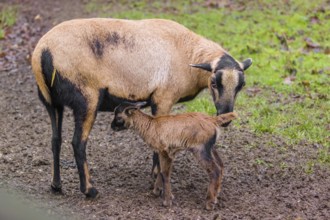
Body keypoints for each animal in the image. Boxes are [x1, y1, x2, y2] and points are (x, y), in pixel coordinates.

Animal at [31, 17, 253, 198]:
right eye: (214, 83)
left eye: (241, 85)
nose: (226, 116)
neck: (188, 53)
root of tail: (43, 51)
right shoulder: (163, 99)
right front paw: (157, 179)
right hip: (87, 98)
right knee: (78, 143)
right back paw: (89, 190)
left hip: (51, 101)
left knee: (55, 140)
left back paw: (56, 185)